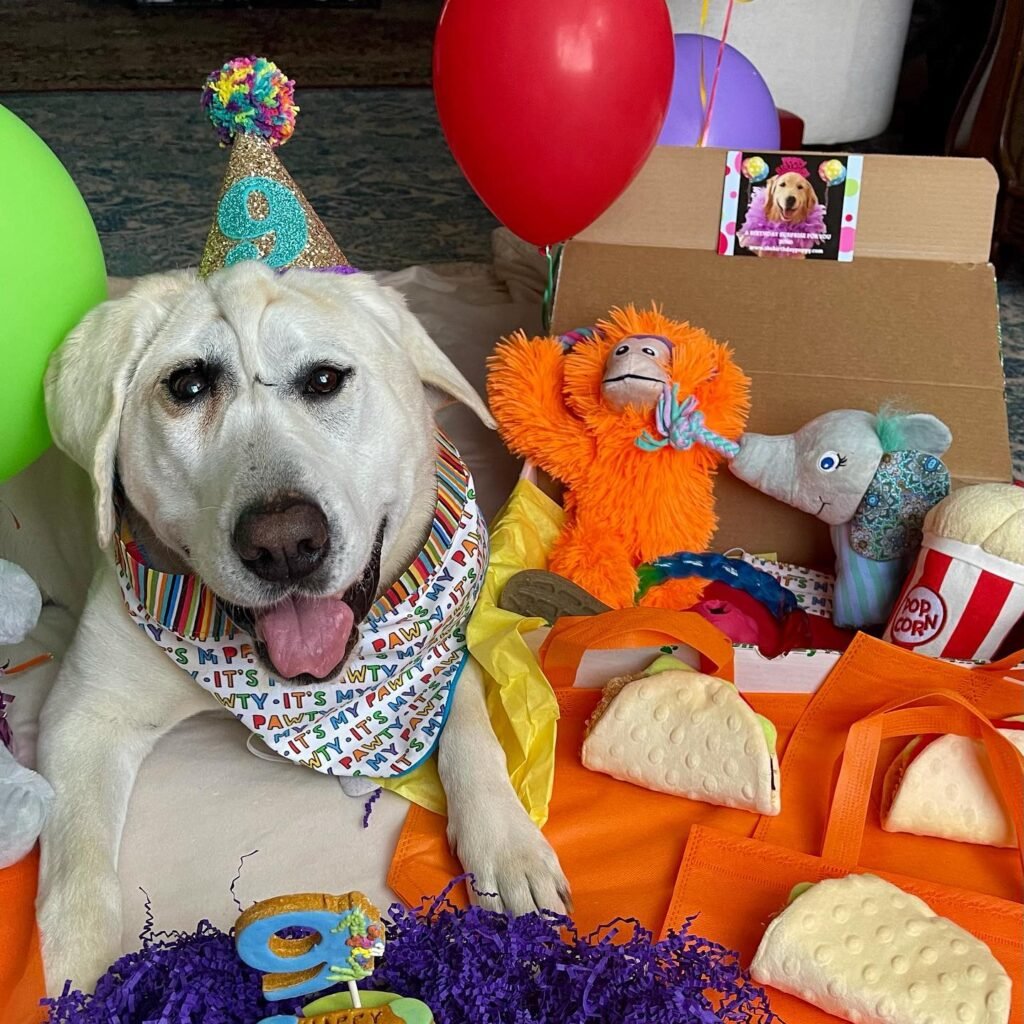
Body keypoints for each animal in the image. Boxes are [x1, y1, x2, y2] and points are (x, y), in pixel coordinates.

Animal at [34, 261, 569, 993]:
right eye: (188, 386)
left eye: (323, 380)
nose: (285, 544)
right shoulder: (85, 716)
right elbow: (81, 879)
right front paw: (75, 985)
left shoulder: (443, 649)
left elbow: (469, 728)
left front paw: (509, 844)